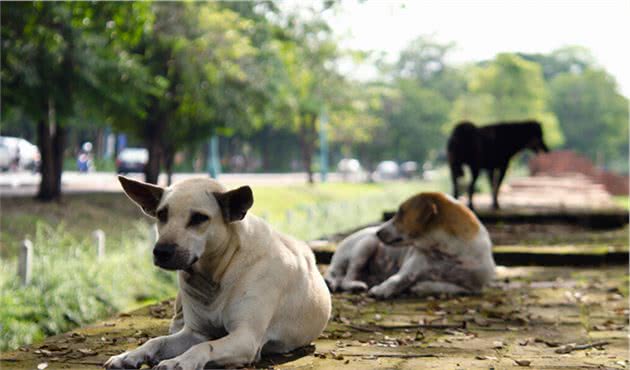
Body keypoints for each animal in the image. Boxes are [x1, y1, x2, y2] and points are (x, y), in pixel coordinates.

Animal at [106, 177, 334, 370]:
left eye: (199, 218)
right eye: (162, 214)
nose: (161, 251)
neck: (216, 273)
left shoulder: (245, 337)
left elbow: (205, 346)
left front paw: (179, 361)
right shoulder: (196, 333)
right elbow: (157, 341)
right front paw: (130, 355)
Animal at [326, 192, 498, 300]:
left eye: (401, 213)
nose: (378, 232)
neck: (449, 253)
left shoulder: (474, 288)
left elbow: (451, 288)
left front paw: (421, 286)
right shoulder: (410, 268)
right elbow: (396, 279)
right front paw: (382, 290)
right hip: (365, 246)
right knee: (346, 279)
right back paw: (356, 285)